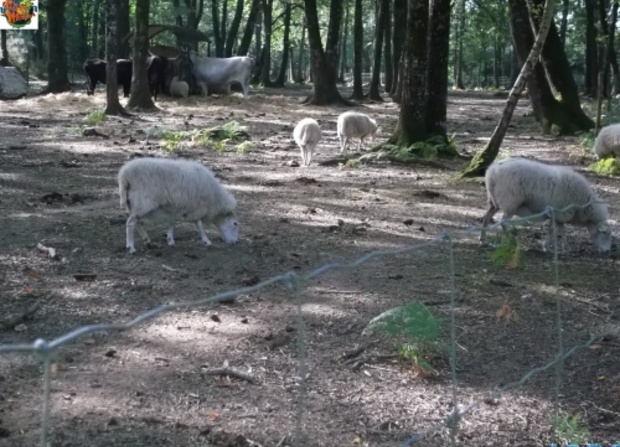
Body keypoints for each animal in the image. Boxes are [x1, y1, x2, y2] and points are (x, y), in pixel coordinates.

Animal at [480, 158, 612, 256]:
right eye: (604, 234)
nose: (607, 251)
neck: (582, 205)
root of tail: (492, 170)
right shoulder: (560, 212)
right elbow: (558, 230)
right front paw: (561, 247)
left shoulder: (555, 214)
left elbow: (554, 229)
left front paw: (550, 247)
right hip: (510, 201)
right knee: (503, 222)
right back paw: (512, 242)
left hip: (494, 201)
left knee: (487, 217)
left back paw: (482, 240)